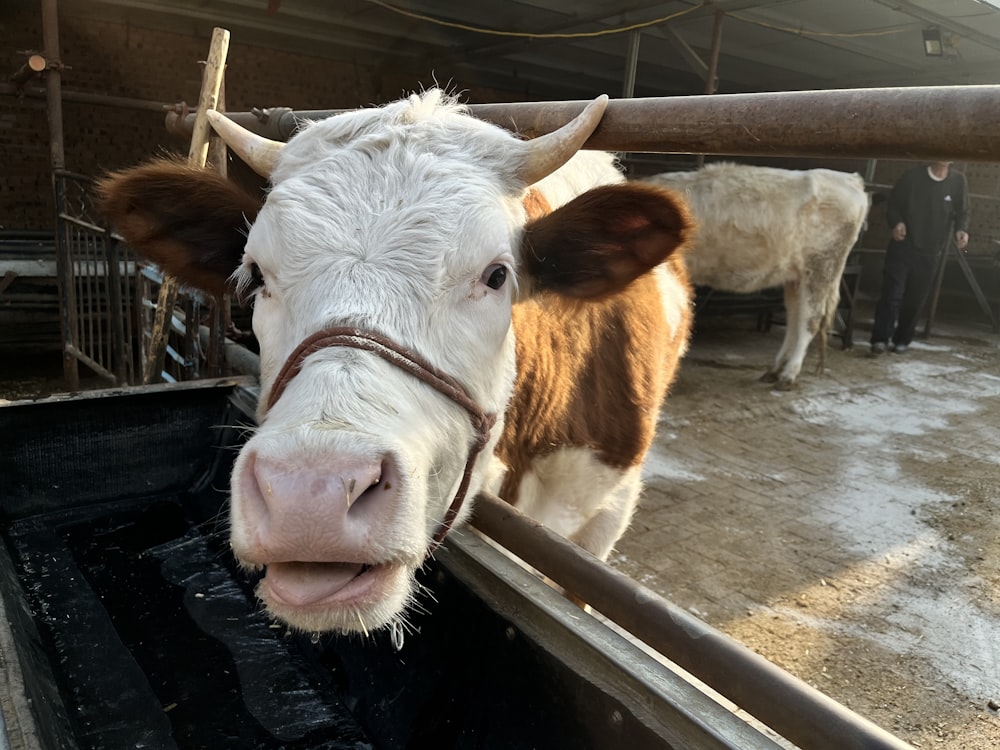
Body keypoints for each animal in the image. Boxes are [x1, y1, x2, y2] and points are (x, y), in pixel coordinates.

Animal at [648, 162, 868, 390]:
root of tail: (850, 179)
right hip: (797, 276)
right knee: (794, 317)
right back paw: (775, 370)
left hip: (820, 266)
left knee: (810, 320)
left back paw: (788, 375)